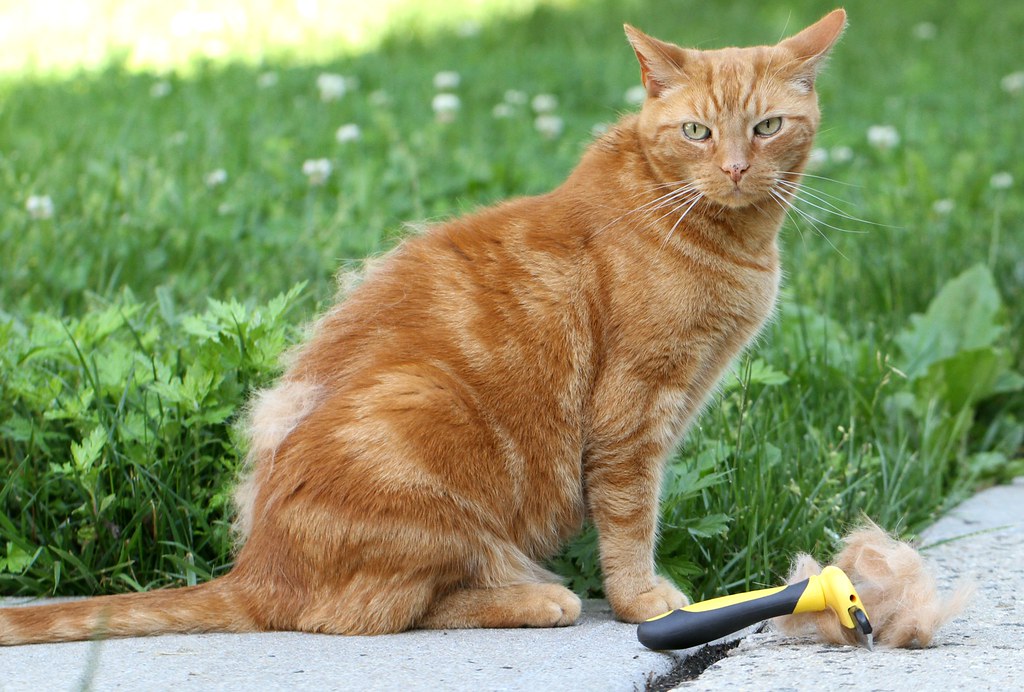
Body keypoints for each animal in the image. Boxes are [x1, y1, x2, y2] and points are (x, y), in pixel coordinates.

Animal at [0, 9, 847, 642]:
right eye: (698, 132)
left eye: (767, 126)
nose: (736, 168)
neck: (721, 235)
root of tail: (254, 572)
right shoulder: (632, 413)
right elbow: (631, 517)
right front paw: (642, 601)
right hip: (425, 419)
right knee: (377, 612)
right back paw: (539, 596)